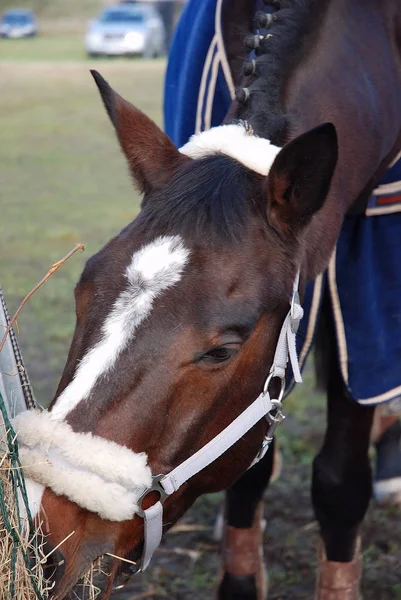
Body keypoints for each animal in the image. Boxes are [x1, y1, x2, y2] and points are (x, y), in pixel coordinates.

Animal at [14, 1, 400, 600]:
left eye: (222, 351)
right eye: (81, 294)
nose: (44, 549)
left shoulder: (371, 268)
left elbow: (340, 478)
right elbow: (252, 471)